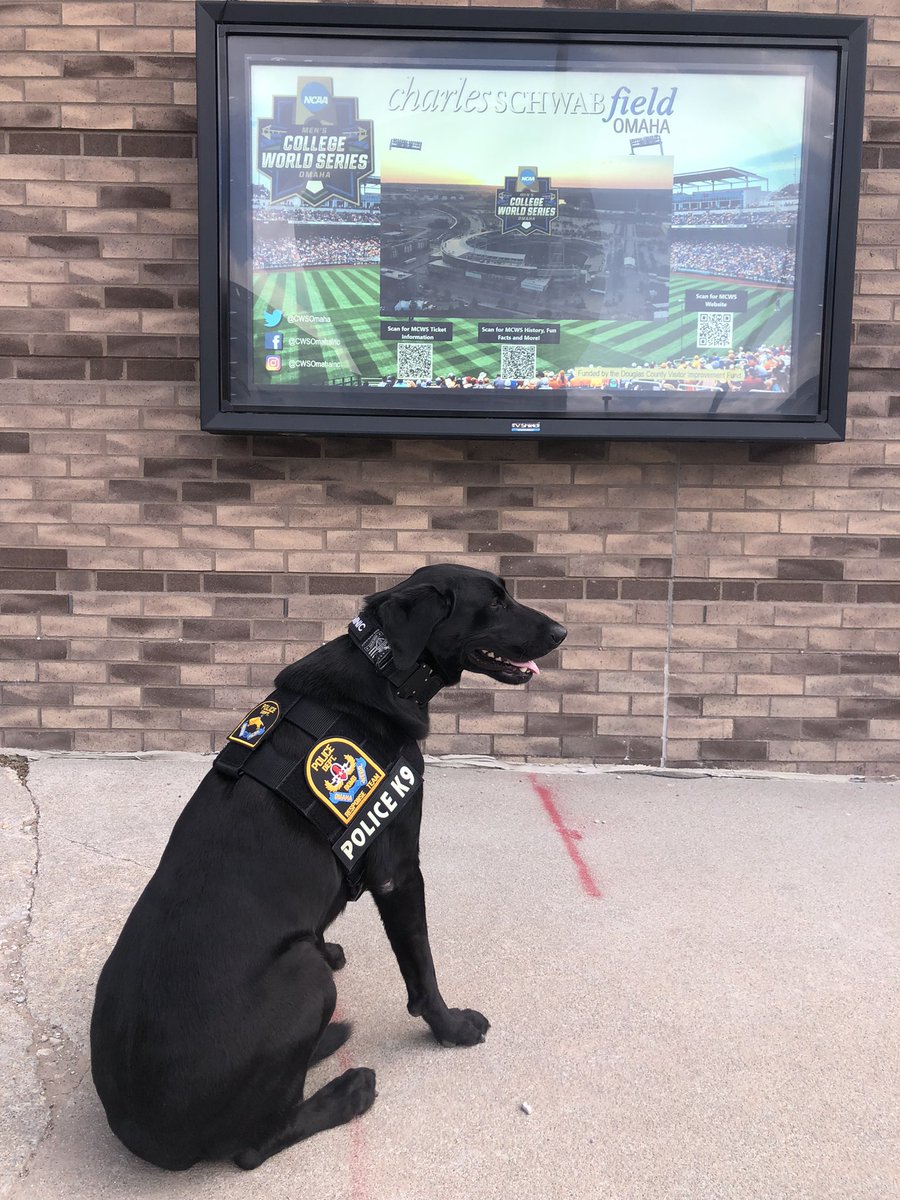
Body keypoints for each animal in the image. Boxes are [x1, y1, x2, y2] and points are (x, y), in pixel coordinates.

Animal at [90, 564, 564, 1171]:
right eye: (497, 603)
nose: (562, 632)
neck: (384, 666)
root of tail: (140, 1132)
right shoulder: (398, 870)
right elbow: (423, 971)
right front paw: (451, 1028)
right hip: (304, 980)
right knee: (253, 1144)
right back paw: (346, 1090)